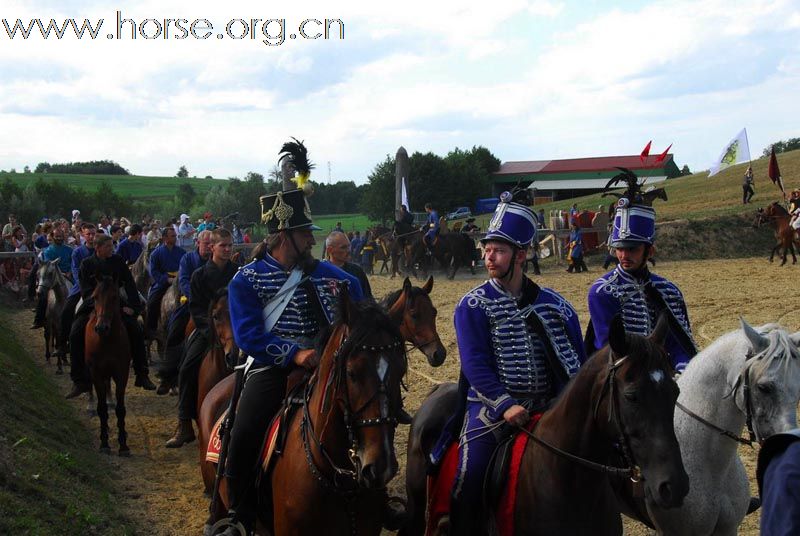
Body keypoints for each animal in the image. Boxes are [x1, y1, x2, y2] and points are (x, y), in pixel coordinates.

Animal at [86, 276, 131, 456]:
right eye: (94, 297)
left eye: (114, 297)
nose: (101, 327)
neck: (107, 341)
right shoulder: (96, 373)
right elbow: (102, 408)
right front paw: (104, 442)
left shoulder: (122, 373)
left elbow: (120, 409)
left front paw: (123, 444)